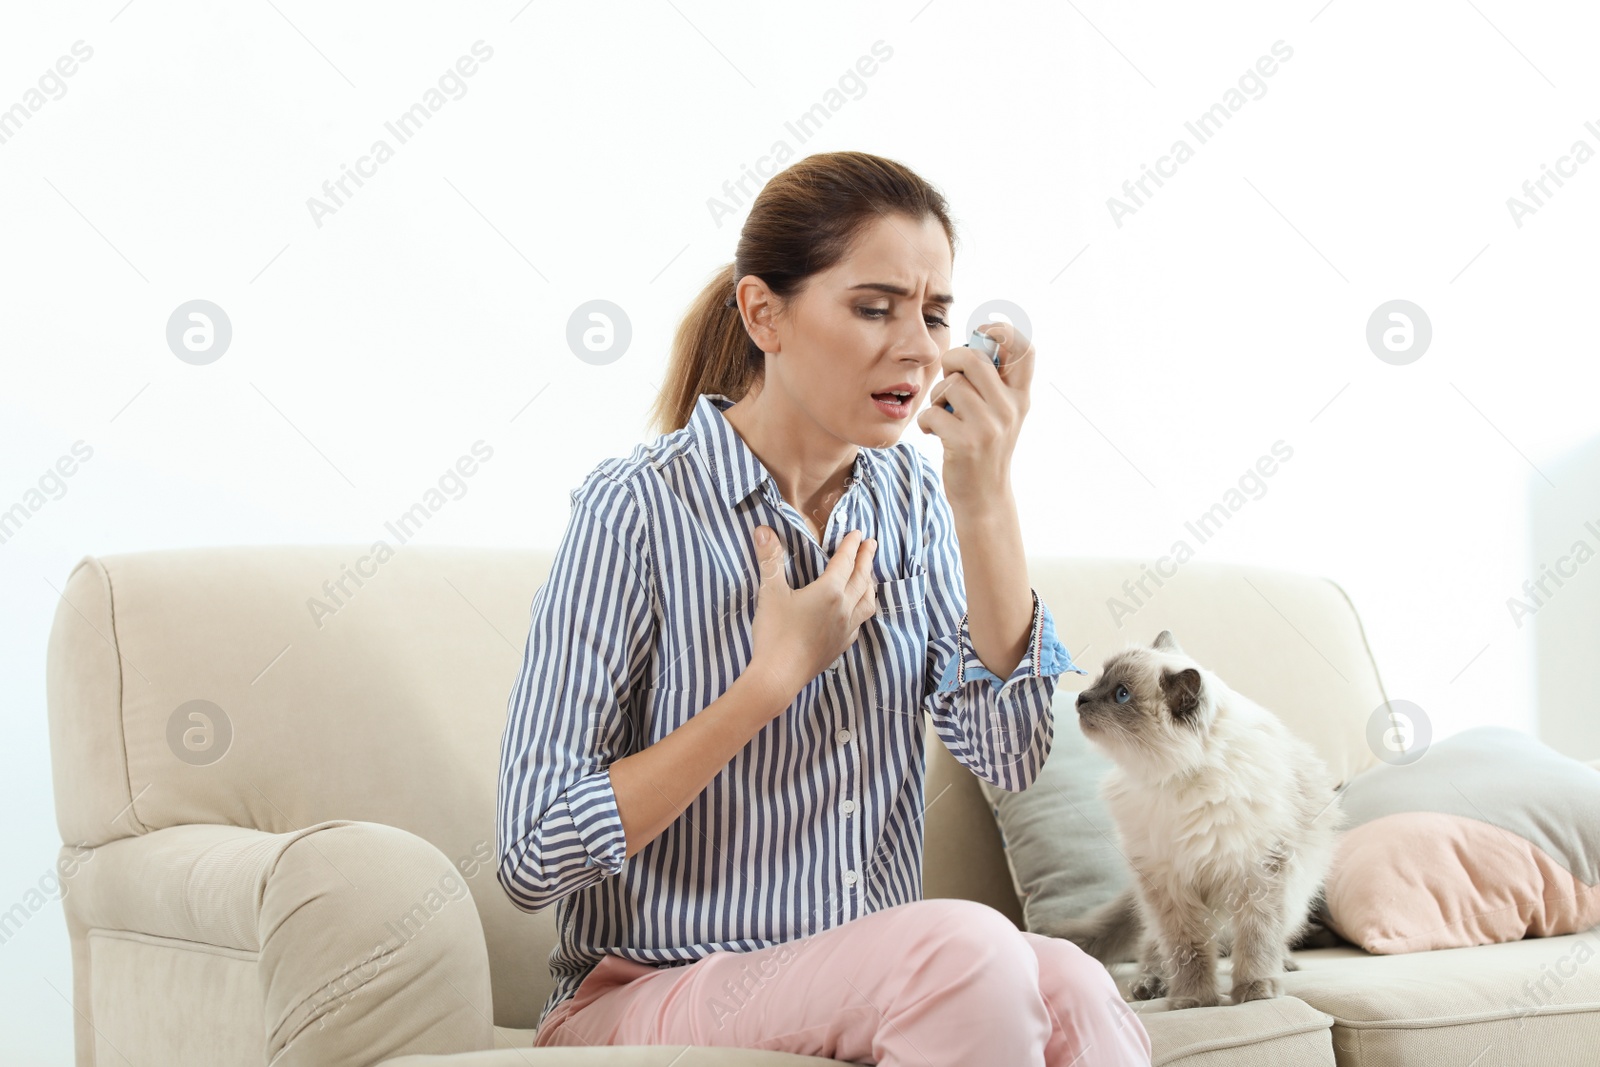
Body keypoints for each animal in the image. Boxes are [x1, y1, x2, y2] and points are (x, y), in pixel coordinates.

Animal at [1049, 630, 1350, 1017]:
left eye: (1121, 694)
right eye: (1100, 681)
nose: (1081, 698)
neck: (1178, 781)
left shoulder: (1258, 875)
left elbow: (1256, 940)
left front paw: (1256, 992)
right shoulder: (1168, 884)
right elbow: (1188, 950)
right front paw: (1194, 1001)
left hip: (1295, 897)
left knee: (1275, 936)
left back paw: (1284, 966)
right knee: (1152, 950)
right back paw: (1152, 986)